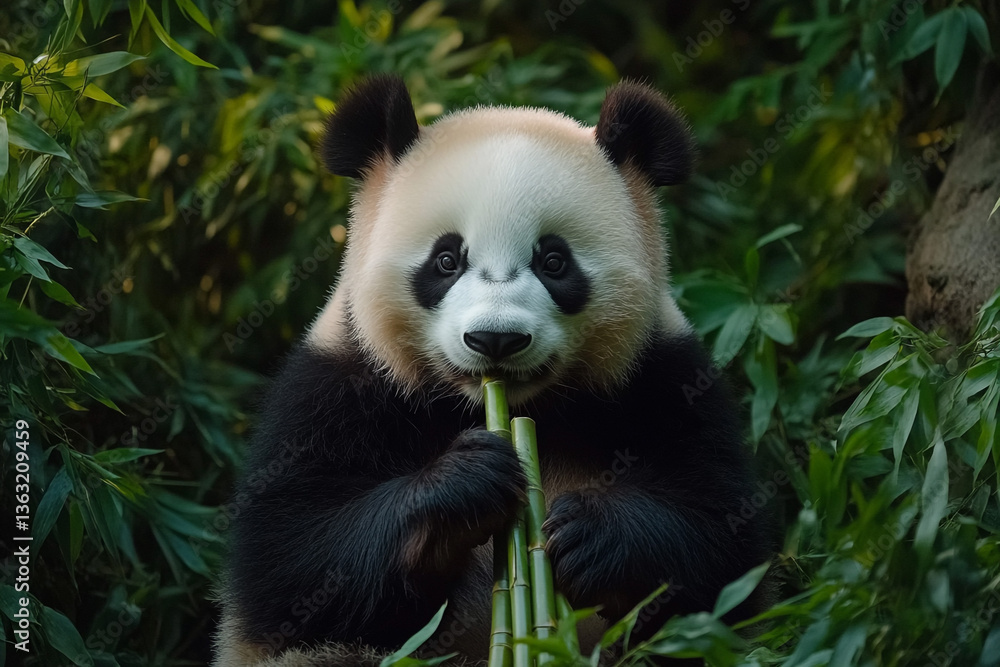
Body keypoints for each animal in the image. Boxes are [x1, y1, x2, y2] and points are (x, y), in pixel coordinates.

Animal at [214, 74, 768, 666]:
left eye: (554, 261)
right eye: (446, 260)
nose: (496, 339)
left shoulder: (664, 378)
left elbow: (722, 546)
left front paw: (591, 537)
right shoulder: (338, 384)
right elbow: (292, 562)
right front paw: (465, 483)